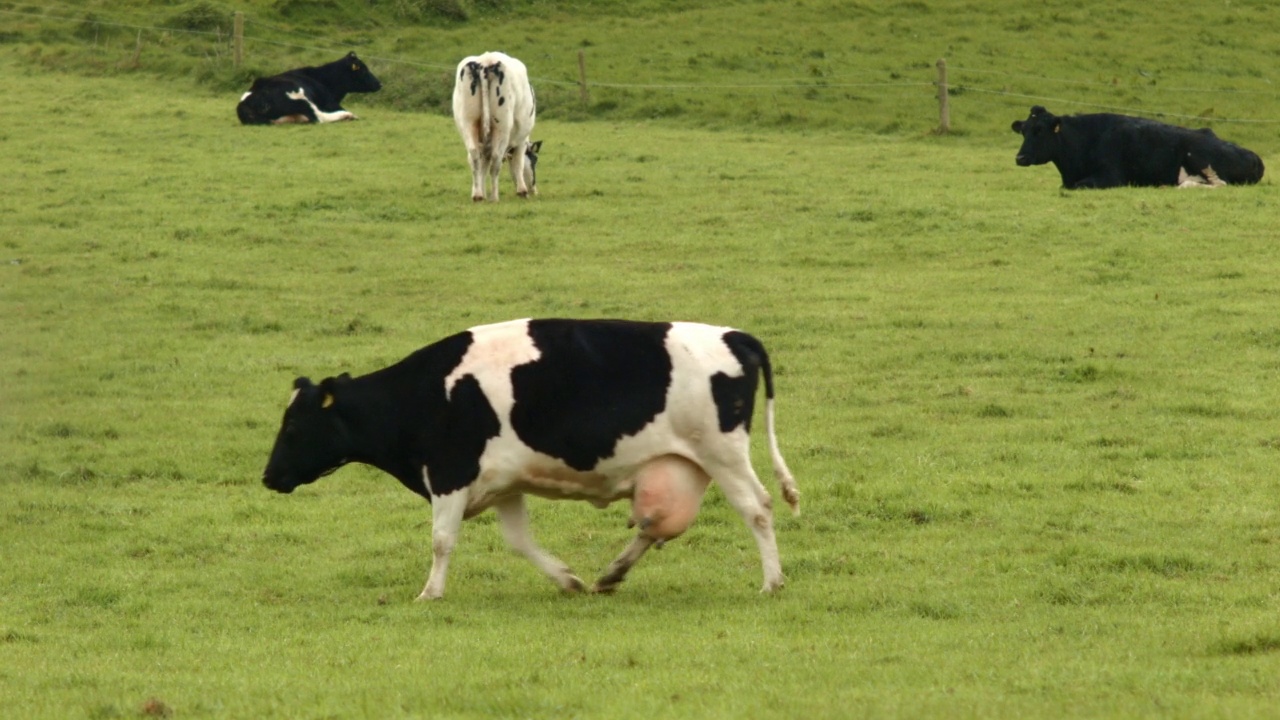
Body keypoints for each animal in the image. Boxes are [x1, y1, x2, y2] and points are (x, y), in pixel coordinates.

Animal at [236, 52, 378, 126]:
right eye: (364, 70)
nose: (379, 84)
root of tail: (244, 103)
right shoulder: (330, 102)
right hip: (300, 97)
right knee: (319, 118)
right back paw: (348, 115)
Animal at [259, 316, 798, 597]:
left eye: (293, 426)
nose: (267, 477)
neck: (423, 393)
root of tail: (735, 335)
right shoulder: (503, 484)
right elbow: (519, 542)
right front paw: (568, 579)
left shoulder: (449, 474)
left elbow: (441, 540)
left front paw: (430, 592)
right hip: (684, 465)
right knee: (655, 523)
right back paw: (611, 574)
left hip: (723, 454)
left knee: (757, 508)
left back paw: (772, 582)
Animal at [450, 51, 540, 199]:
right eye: (534, 161)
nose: (534, 191)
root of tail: (486, 61)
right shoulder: (521, 140)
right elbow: (518, 163)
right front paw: (522, 191)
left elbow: (482, 167)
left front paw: (479, 191)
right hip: (501, 126)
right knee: (496, 158)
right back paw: (494, 197)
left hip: (468, 122)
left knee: (475, 155)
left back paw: (478, 196)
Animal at [1013, 104, 1264, 189]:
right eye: (1024, 130)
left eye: (1039, 131)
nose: (1020, 158)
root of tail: (1255, 157)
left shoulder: (1111, 177)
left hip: (1199, 156)